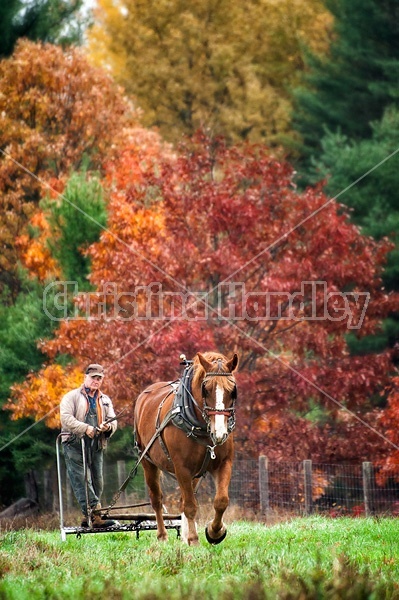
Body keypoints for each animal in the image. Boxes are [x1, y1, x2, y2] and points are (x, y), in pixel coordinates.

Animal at [133, 350, 239, 548]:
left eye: (232, 390)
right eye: (206, 389)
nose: (220, 432)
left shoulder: (224, 463)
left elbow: (221, 501)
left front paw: (214, 532)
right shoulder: (181, 468)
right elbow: (190, 506)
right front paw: (194, 539)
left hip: (195, 474)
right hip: (148, 461)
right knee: (157, 499)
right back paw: (162, 535)